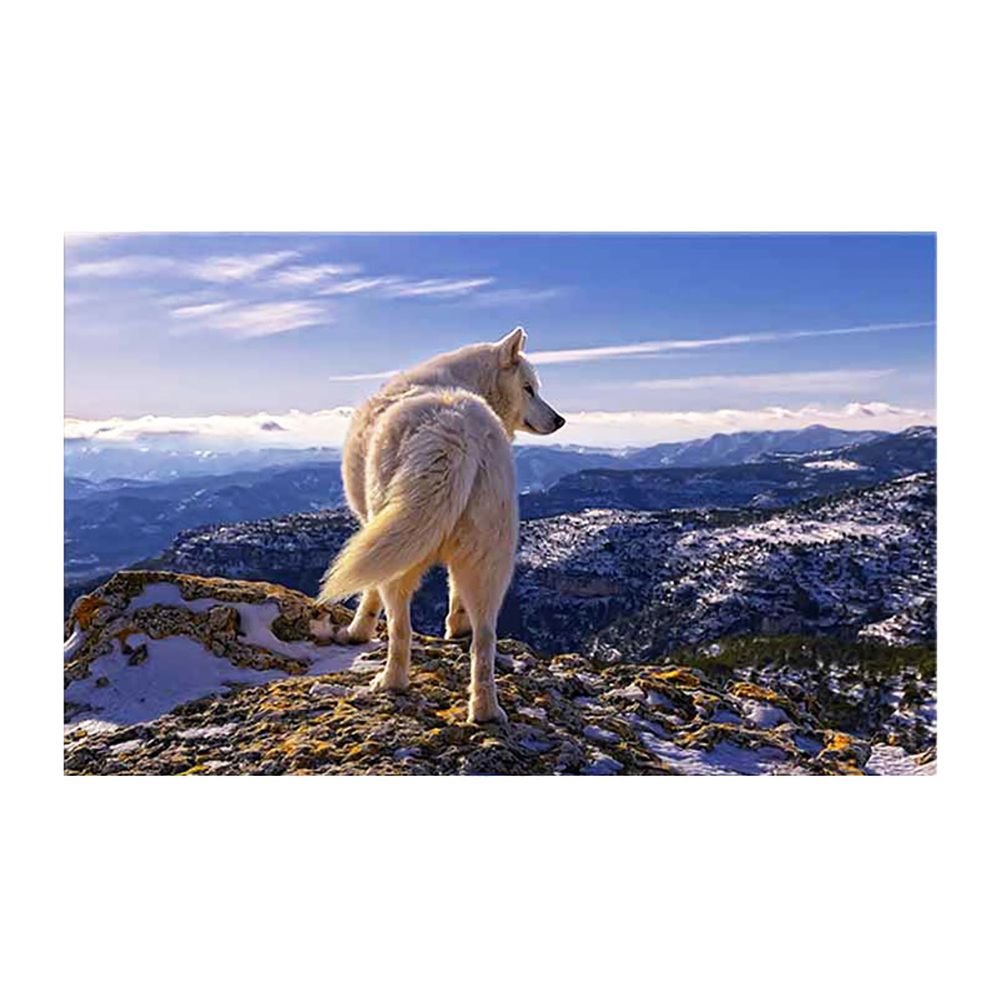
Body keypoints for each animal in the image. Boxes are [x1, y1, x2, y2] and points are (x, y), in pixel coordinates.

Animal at [318, 327, 565, 723]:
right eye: (529, 388)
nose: (559, 420)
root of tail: (456, 431)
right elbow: (454, 596)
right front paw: (456, 628)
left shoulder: (373, 525)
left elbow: (368, 594)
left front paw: (357, 632)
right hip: (490, 560)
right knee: (485, 638)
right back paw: (485, 710)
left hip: (401, 553)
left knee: (401, 628)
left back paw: (390, 682)